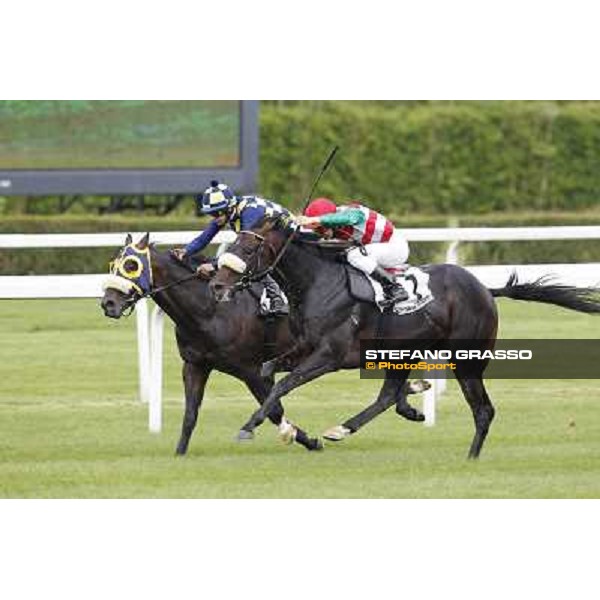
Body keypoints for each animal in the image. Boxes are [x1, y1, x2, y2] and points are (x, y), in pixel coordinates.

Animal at [209, 218, 600, 458]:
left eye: (248, 248)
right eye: (231, 243)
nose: (216, 284)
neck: (319, 282)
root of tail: (485, 289)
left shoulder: (329, 356)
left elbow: (282, 383)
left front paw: (249, 427)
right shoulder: (303, 347)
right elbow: (268, 373)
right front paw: (282, 427)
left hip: (467, 360)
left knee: (483, 410)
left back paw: (470, 458)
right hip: (403, 351)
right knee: (387, 396)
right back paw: (357, 423)